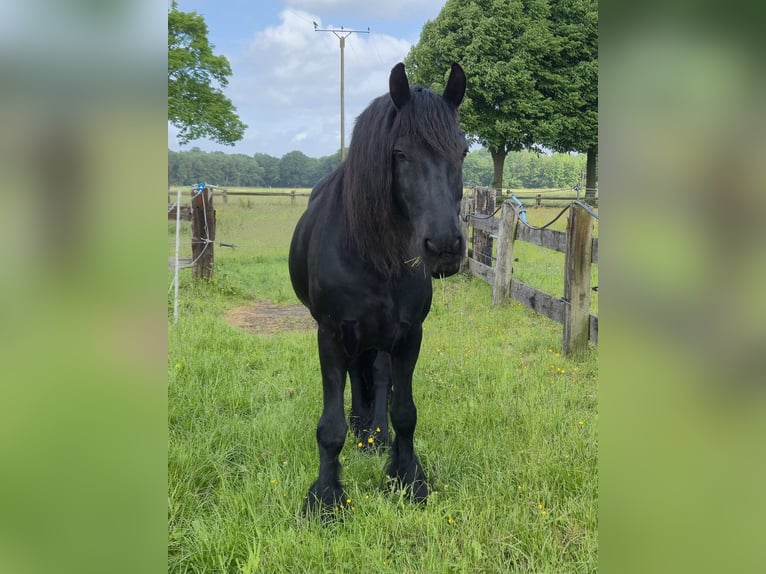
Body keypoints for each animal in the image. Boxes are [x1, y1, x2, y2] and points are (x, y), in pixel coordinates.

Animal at [288, 62, 467, 512]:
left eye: (462, 151)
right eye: (400, 153)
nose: (444, 247)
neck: (372, 253)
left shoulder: (409, 335)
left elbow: (405, 412)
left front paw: (408, 478)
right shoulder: (331, 334)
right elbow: (330, 426)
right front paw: (326, 497)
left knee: (378, 378)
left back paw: (375, 434)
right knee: (357, 375)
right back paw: (360, 425)